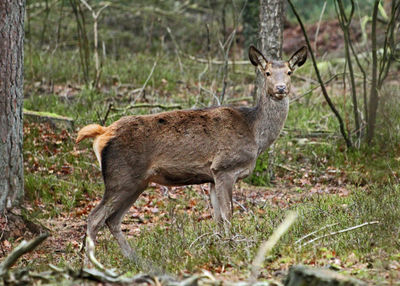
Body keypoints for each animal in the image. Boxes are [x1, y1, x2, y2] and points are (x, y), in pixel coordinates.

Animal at [76, 45, 310, 260]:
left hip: (137, 182)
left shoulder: (213, 177)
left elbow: (217, 217)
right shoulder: (225, 167)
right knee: (95, 218)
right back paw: (92, 263)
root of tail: (102, 134)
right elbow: (228, 214)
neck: (255, 134)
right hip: (121, 177)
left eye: (289, 72)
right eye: (267, 72)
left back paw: (136, 260)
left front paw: (219, 245)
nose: (281, 88)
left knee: (112, 219)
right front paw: (232, 247)